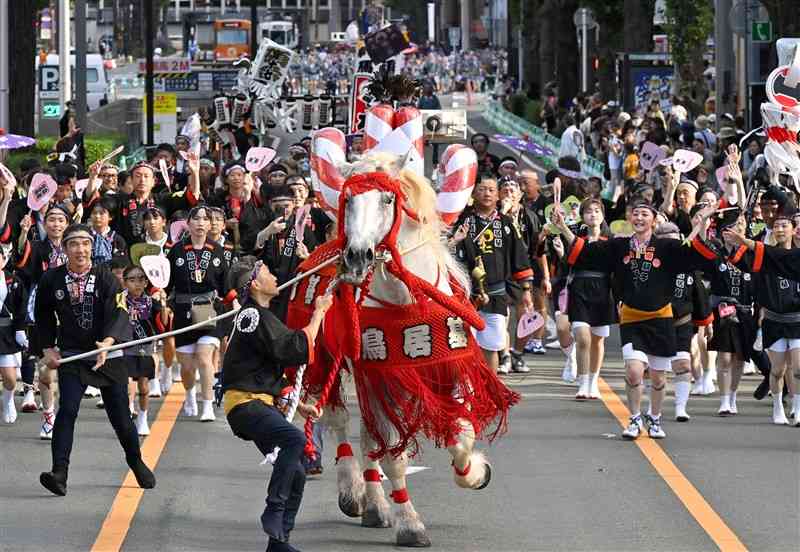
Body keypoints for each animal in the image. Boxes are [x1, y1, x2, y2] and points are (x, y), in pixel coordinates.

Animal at [314, 152, 500, 548]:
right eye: (348, 200)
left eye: (388, 199)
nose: (356, 258)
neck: (405, 301)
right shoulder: (382, 374)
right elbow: (393, 458)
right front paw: (410, 525)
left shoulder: (449, 367)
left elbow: (462, 436)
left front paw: (475, 471)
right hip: (331, 362)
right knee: (341, 422)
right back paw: (354, 494)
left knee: (369, 436)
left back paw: (373, 507)